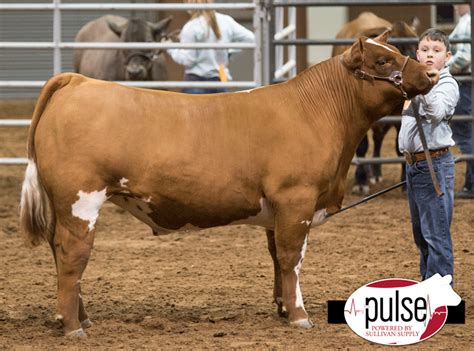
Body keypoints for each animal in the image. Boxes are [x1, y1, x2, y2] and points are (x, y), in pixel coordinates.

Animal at [334, 12, 418, 195]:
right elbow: (361, 147)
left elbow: (399, 146)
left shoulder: (399, 114)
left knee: (378, 138)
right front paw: (360, 181)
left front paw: (405, 182)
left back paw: (376, 171)